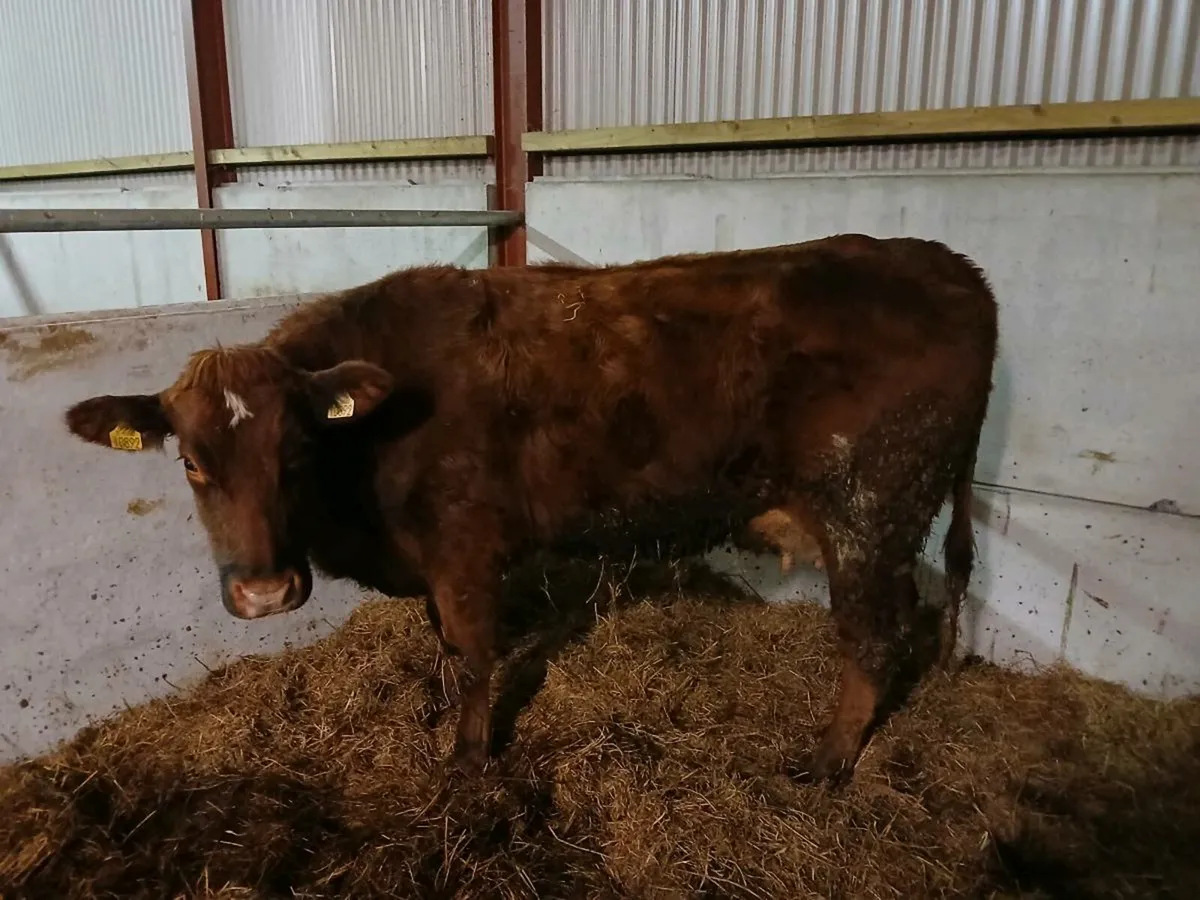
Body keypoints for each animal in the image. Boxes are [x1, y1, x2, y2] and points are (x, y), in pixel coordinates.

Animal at [64, 234, 997, 783]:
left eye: (294, 450)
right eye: (191, 461)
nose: (264, 593)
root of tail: (950, 267)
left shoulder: (466, 549)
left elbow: (477, 655)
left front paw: (468, 759)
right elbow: (443, 651)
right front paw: (437, 716)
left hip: (869, 509)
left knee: (875, 639)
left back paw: (827, 764)